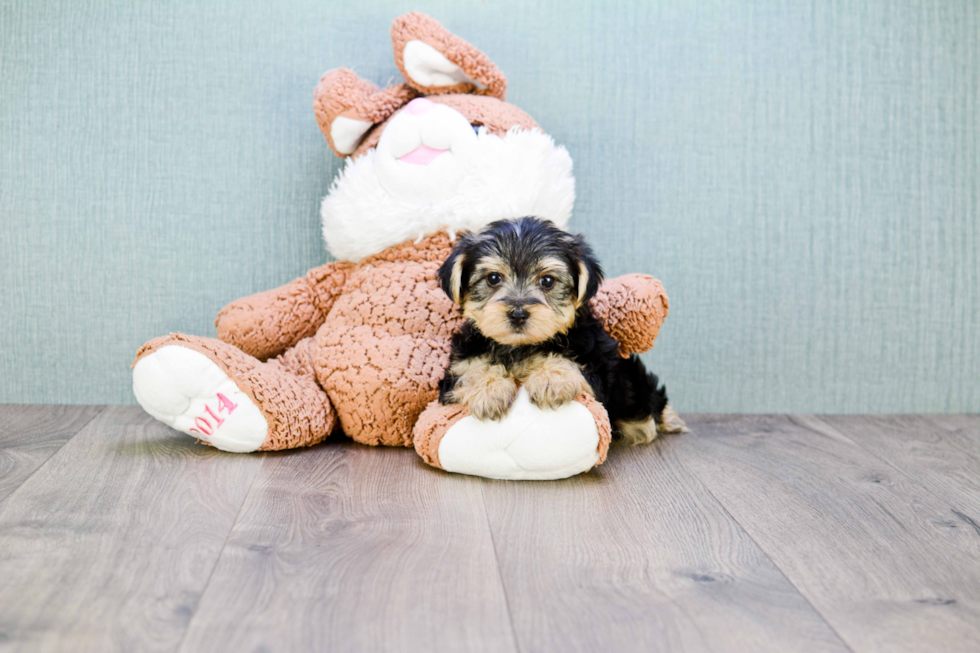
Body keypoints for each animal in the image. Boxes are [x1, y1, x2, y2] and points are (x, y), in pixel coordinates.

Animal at [440, 216, 684, 446]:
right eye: (493, 278)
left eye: (548, 281)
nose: (518, 314)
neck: (519, 347)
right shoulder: (455, 371)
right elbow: (471, 371)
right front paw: (489, 391)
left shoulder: (598, 371)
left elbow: (571, 363)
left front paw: (551, 379)